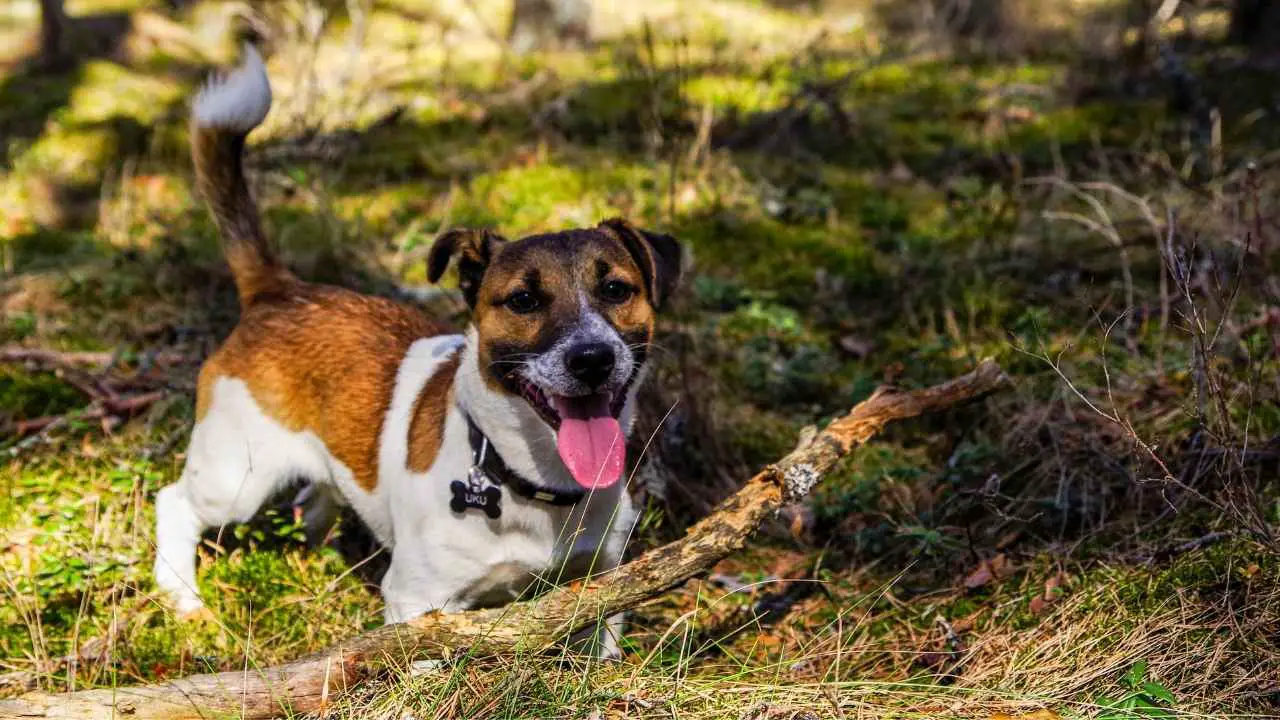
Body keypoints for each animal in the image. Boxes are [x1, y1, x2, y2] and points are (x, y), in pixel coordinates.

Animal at [152, 43, 680, 650]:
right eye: (523, 300)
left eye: (616, 290)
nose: (592, 358)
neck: (530, 482)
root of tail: (279, 290)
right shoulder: (418, 605)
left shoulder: (604, 581)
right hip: (235, 476)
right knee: (175, 503)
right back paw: (183, 597)